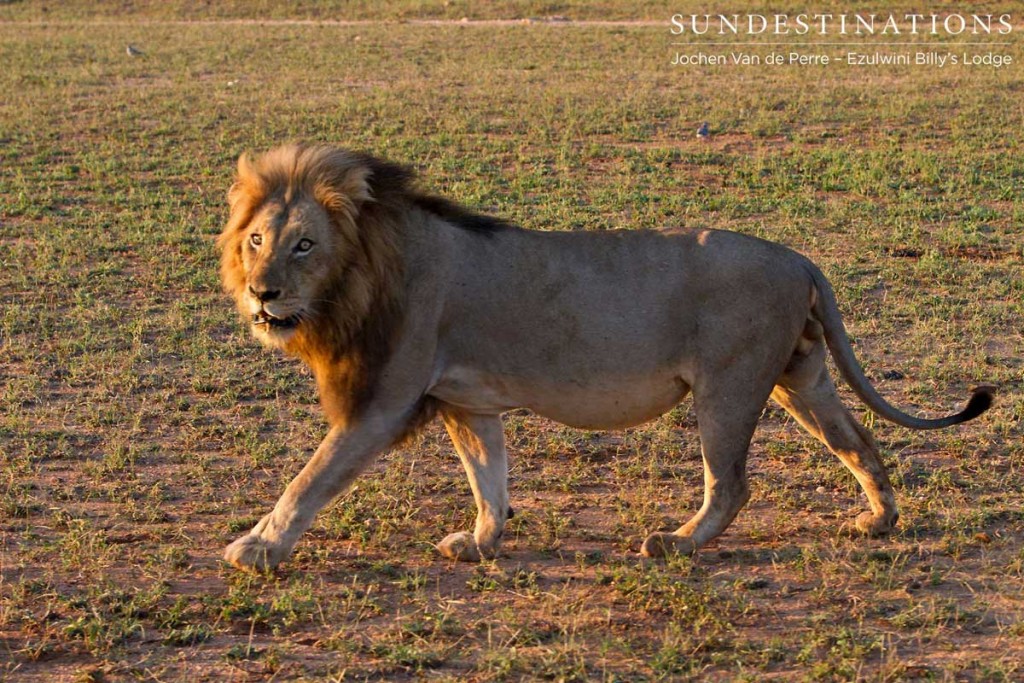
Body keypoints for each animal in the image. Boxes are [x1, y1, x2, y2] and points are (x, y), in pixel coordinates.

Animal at [218, 144, 991, 573]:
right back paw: (879, 520)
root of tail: (799, 257)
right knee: (858, 439)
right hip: (800, 377)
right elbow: (488, 480)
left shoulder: (382, 399)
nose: (262, 293)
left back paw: (676, 544)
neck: (365, 273)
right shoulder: (466, 402)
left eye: (304, 245)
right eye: (257, 240)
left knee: (732, 483)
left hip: (730, 386)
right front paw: (481, 543)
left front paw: (258, 548)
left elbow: (309, 480)